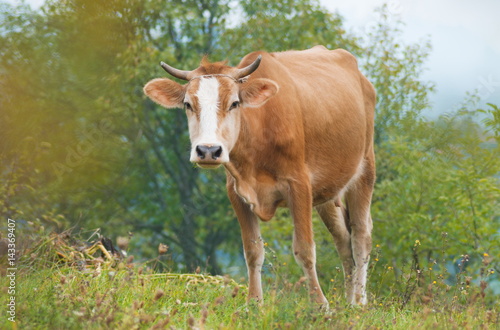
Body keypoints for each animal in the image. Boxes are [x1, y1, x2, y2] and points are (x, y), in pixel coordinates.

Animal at [144, 45, 376, 306]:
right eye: (187, 104)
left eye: (234, 103)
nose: (208, 150)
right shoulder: (236, 191)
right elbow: (253, 251)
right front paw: (254, 303)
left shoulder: (299, 184)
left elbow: (305, 249)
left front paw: (319, 304)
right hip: (328, 189)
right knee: (343, 239)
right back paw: (347, 301)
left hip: (364, 169)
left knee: (361, 236)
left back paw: (358, 301)